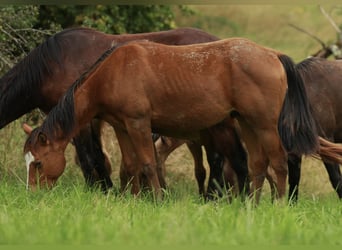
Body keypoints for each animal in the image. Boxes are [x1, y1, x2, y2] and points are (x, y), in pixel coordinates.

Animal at [0, 26, 219, 191]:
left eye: (38, 164)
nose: (31, 193)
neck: (51, 66)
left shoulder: (82, 122)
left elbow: (90, 158)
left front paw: (102, 190)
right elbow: (99, 157)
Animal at [23, 38, 336, 203]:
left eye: (37, 163)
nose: (32, 196)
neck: (114, 71)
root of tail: (273, 54)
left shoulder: (138, 124)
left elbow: (147, 164)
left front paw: (157, 200)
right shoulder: (122, 126)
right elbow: (129, 166)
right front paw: (130, 200)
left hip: (266, 126)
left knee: (279, 165)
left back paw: (278, 205)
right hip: (247, 123)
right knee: (258, 166)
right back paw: (252, 205)